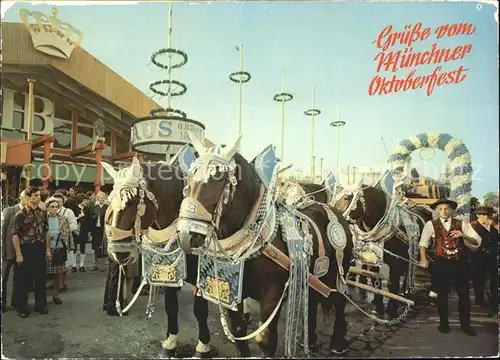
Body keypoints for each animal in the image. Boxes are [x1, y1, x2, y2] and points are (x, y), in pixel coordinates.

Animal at [102, 157, 216, 358]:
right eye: (109, 202)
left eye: (131, 203)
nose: (117, 252)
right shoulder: (168, 271)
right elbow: (171, 306)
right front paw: (170, 342)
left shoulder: (199, 275)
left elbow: (200, 310)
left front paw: (203, 346)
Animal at [178, 136, 354, 358]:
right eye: (189, 176)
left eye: (217, 177)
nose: (186, 236)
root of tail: (335, 211)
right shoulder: (234, 291)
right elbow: (238, 332)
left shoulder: (273, 293)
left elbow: (265, 340)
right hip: (313, 274)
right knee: (313, 300)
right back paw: (310, 340)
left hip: (339, 270)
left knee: (339, 301)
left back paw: (338, 342)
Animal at [332, 186, 434, 318]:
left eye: (347, 197)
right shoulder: (373, 259)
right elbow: (375, 279)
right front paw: (378, 306)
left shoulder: (396, 262)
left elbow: (392, 283)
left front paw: (392, 310)